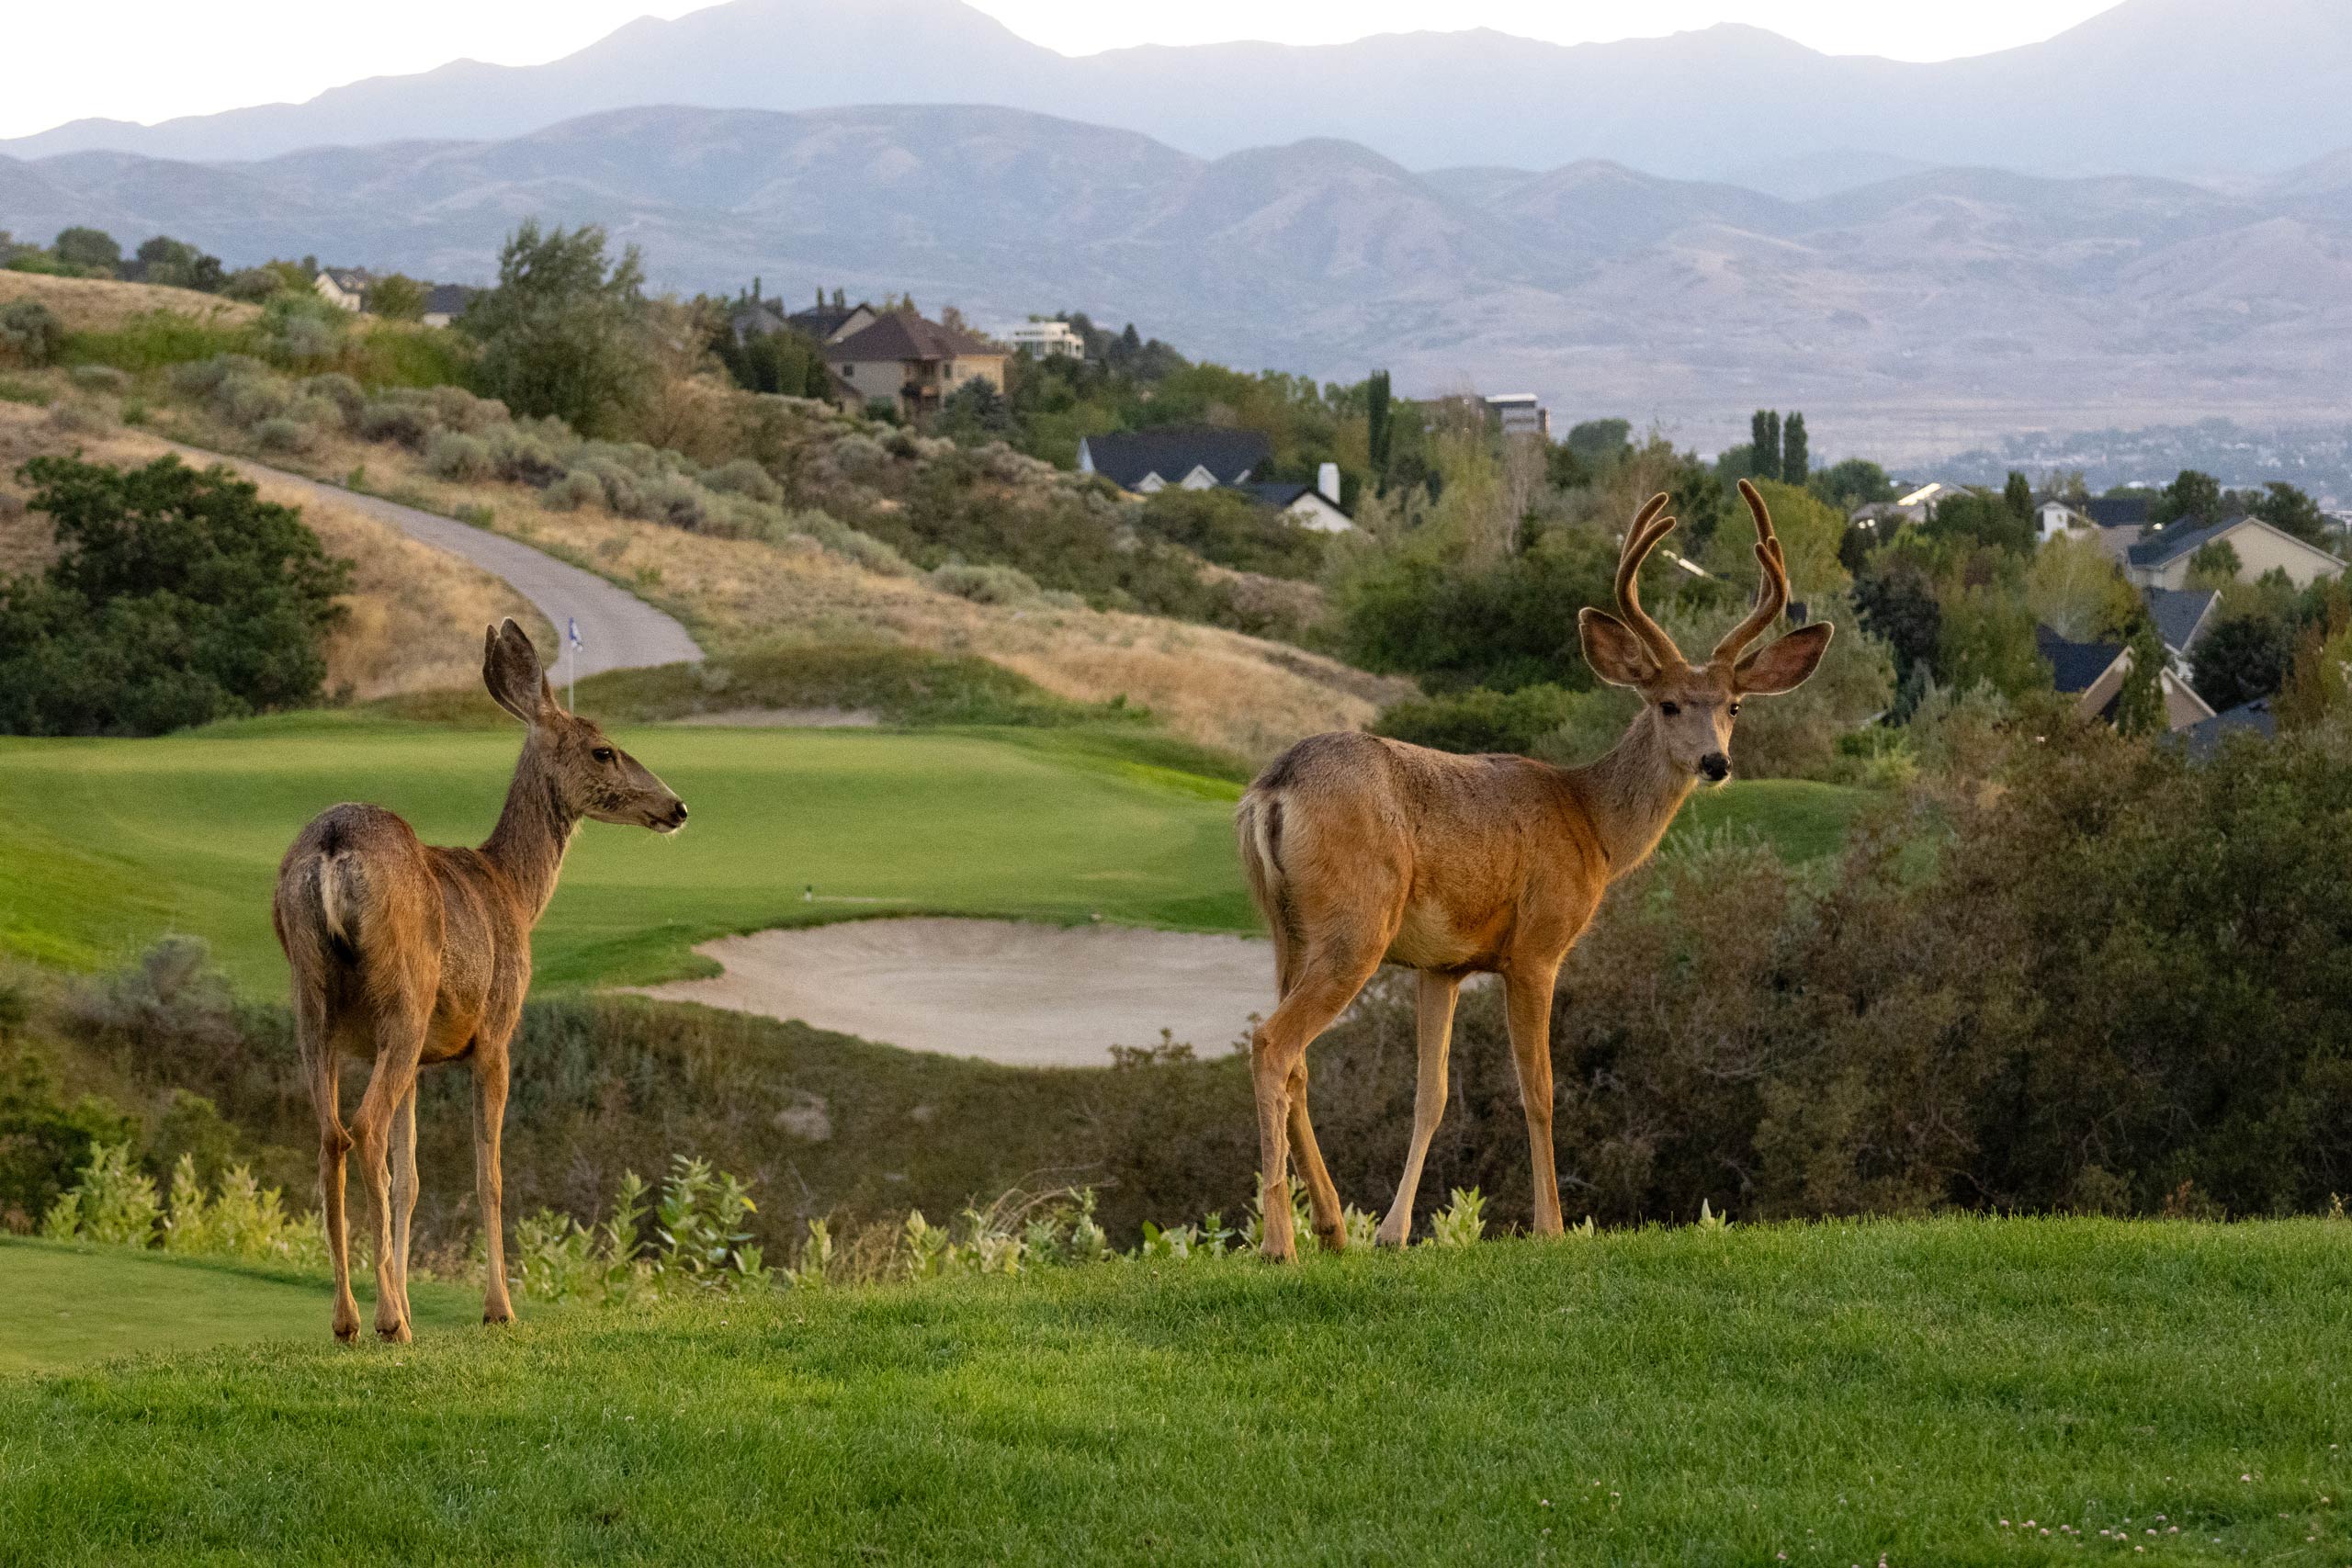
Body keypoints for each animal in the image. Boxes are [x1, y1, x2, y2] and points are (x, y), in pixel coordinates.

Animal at [271, 619, 688, 1341]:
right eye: (604, 751)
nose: (677, 806)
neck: (515, 892)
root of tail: (331, 847)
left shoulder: (416, 1058)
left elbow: (411, 1178)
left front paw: (408, 1292)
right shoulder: (495, 1032)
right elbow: (488, 1170)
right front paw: (498, 1307)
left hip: (313, 1004)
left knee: (331, 1136)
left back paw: (349, 1318)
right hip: (405, 997)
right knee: (365, 1129)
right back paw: (388, 1323)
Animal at [1233, 480, 1831, 1260]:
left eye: (1734, 704)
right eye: (1668, 703)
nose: (1716, 761)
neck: (1592, 823)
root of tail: (1271, 790)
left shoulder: (1442, 964)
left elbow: (1432, 1094)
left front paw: (1393, 1232)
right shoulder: (1538, 947)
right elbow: (1540, 1089)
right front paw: (1553, 1224)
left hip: (1288, 930)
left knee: (1297, 1058)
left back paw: (1334, 1227)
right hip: (1356, 924)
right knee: (1272, 1043)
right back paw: (1281, 1240)